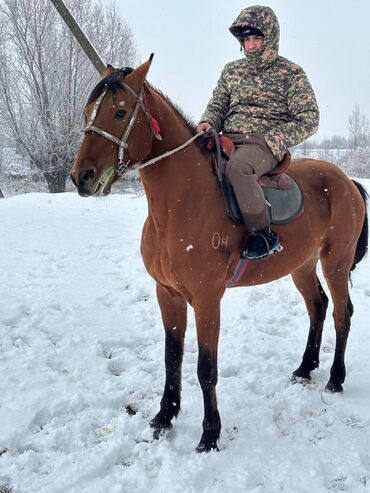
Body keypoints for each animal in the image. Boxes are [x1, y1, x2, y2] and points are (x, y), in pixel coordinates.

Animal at [69, 55, 368, 452]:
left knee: (341, 313)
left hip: (335, 261)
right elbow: (172, 358)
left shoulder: (207, 299)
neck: (180, 205)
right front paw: (164, 416)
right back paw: (305, 368)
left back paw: (335, 378)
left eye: (119, 112)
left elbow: (205, 369)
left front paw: (209, 434)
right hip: (302, 264)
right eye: (89, 111)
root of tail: (347, 180)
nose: (82, 177)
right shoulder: (168, 294)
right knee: (317, 306)